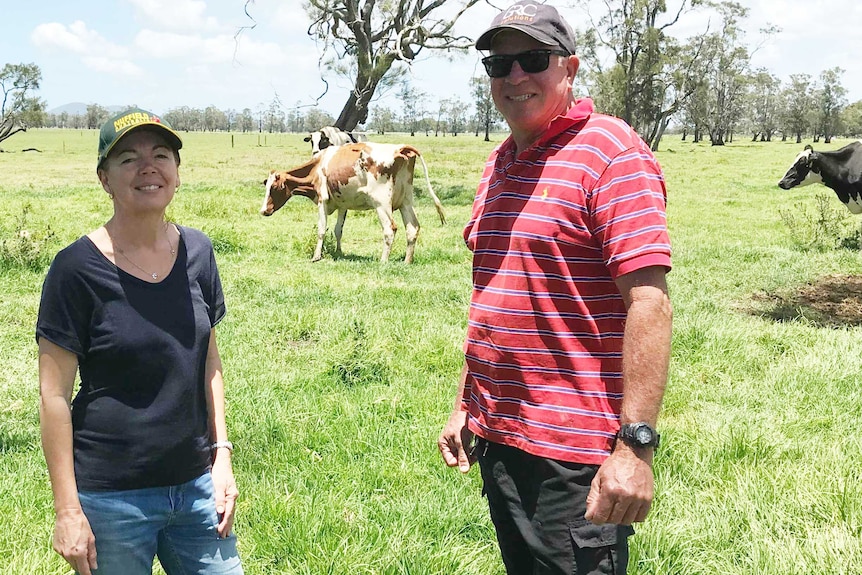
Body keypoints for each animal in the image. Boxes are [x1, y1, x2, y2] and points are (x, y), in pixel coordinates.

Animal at [260, 142, 446, 264]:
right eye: (266, 186)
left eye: (274, 188)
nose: (263, 211)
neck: (318, 165)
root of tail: (400, 149)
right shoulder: (343, 205)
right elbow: (338, 230)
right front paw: (339, 252)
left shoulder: (322, 200)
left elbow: (321, 230)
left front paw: (316, 256)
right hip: (405, 202)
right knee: (412, 228)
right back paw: (407, 261)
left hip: (381, 204)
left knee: (390, 229)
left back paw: (383, 261)